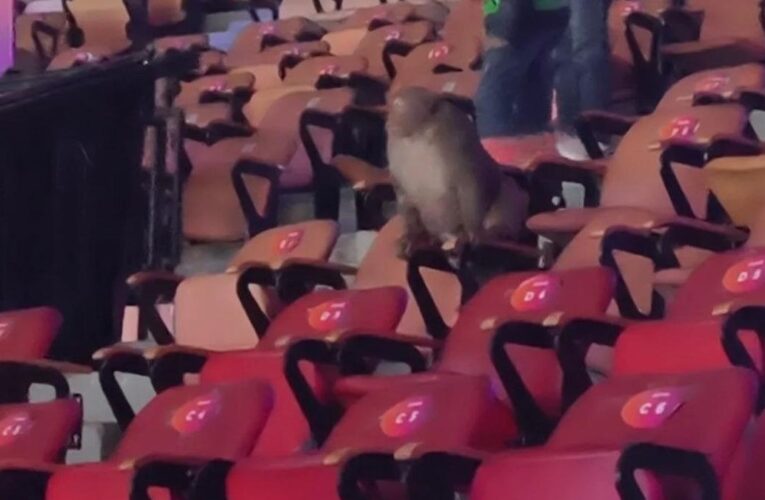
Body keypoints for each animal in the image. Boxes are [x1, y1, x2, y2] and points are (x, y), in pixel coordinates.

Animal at [386, 86, 529, 259]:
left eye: (397, 104)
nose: (388, 121)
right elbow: (406, 199)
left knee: (507, 191)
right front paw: (411, 237)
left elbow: (471, 185)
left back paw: (498, 232)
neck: (418, 136)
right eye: (392, 105)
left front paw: (473, 233)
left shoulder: (457, 144)